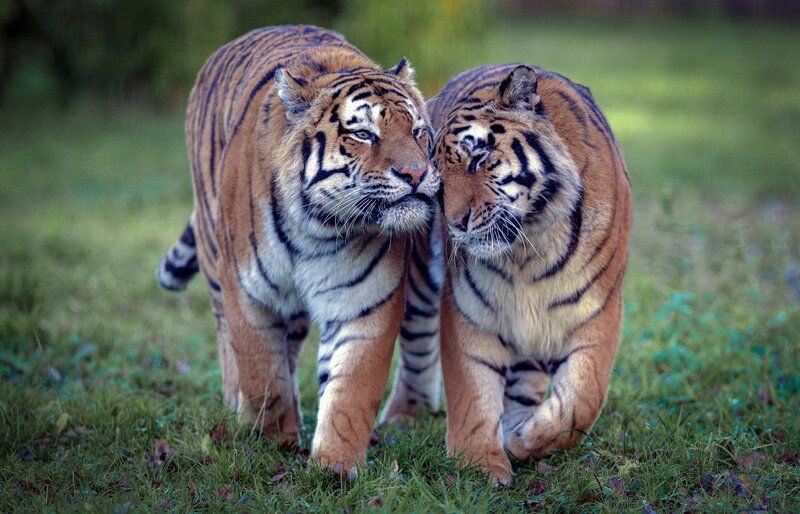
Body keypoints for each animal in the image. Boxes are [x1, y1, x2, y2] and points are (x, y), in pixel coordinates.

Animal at [155, 25, 443, 476]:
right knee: (227, 337)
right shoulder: (248, 294)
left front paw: (335, 467)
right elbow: (262, 374)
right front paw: (274, 442)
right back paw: (236, 402)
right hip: (214, 259)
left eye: (417, 131)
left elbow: (349, 391)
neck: (317, 229)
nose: (415, 174)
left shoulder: (364, 301)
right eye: (363, 134)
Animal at [428, 64, 632, 484]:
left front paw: (526, 441)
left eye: (478, 158)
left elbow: (583, 396)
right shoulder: (467, 310)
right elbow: (472, 390)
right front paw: (478, 466)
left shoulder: (600, 308)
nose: (456, 224)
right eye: (437, 181)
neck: (528, 246)